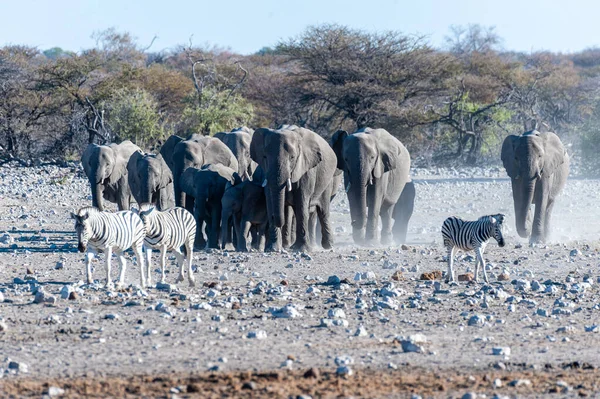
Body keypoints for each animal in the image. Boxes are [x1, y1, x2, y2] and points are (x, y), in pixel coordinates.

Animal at [251, 124, 340, 253]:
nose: (274, 219)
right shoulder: (265, 171)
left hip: (327, 180)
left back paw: (328, 246)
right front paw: (272, 248)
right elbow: (270, 200)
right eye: (265, 157)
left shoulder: (306, 167)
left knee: (323, 210)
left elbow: (301, 201)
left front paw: (302, 249)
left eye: (292, 157)